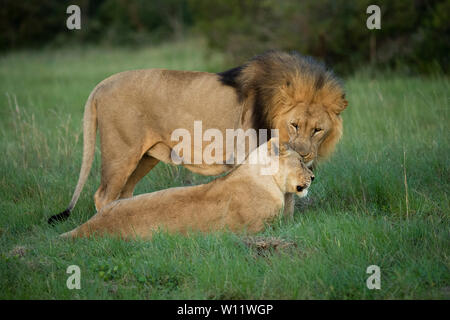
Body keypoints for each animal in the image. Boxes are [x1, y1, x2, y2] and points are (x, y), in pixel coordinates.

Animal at [48, 51, 344, 224]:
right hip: (121, 152)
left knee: (124, 193)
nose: (303, 152)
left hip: (143, 158)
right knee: (103, 195)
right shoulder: (248, 156)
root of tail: (100, 85)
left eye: (317, 129)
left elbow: (290, 198)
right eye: (294, 125)